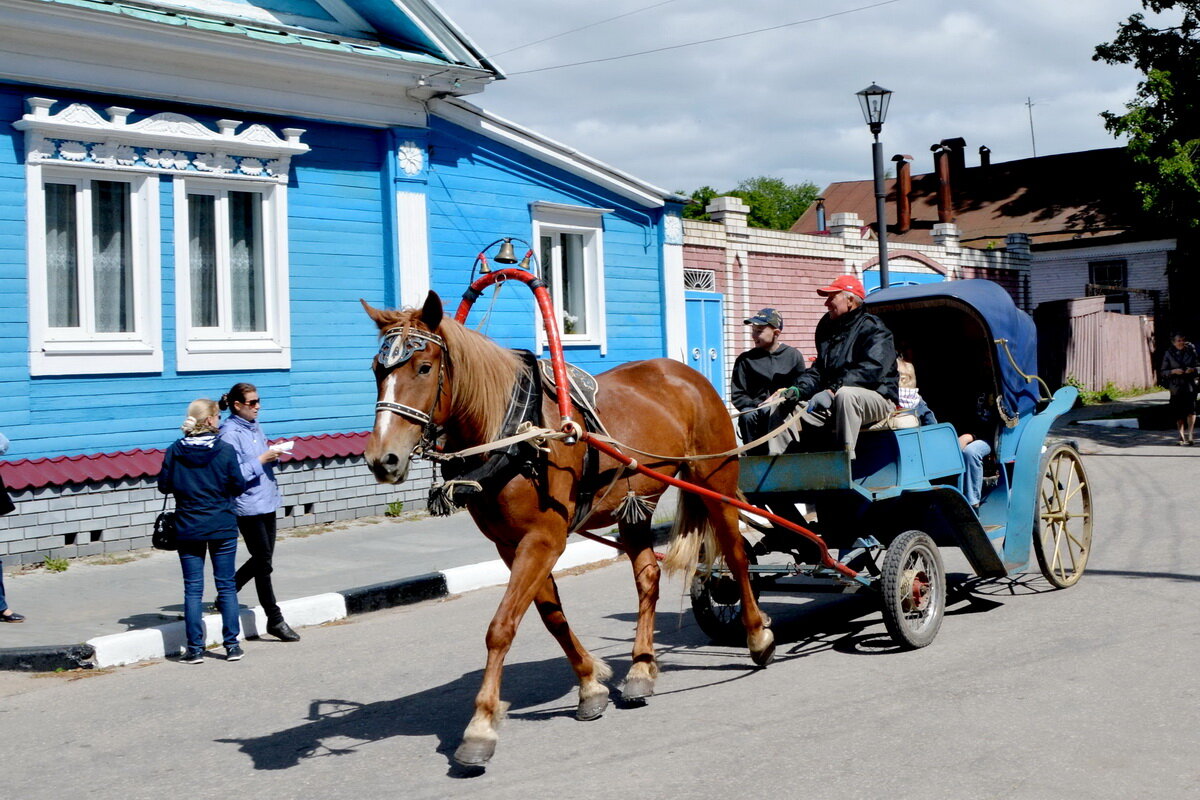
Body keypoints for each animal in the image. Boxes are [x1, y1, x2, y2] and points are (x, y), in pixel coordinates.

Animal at [364, 291, 772, 767]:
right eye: (377, 369)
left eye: (424, 367)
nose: (382, 459)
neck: (516, 435)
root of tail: (686, 373)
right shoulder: (511, 545)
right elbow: (551, 617)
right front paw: (591, 684)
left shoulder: (543, 540)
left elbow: (501, 627)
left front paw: (481, 726)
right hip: (636, 507)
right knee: (648, 577)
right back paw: (641, 667)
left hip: (715, 482)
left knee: (737, 556)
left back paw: (757, 635)